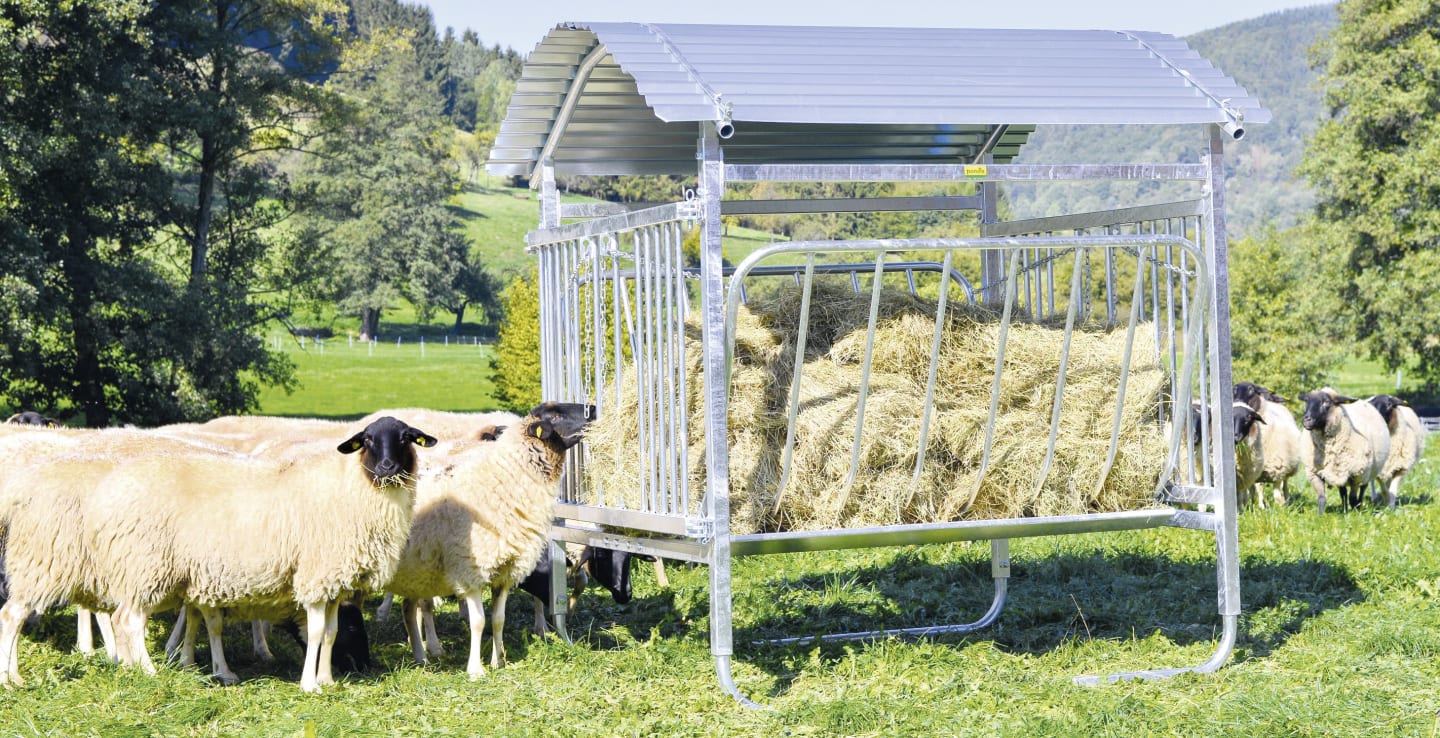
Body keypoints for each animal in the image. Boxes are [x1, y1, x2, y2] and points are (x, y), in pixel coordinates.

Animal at [0, 416, 436, 692]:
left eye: (406, 438)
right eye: (367, 441)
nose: (386, 467)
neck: (352, 490)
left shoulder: (326, 580)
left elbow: (323, 633)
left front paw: (325, 679)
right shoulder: (315, 575)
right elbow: (315, 633)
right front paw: (310, 684)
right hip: (98, 563)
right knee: (107, 618)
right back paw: (139, 672)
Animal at [384, 401, 593, 679]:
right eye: (555, 416)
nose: (593, 408)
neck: (499, 481)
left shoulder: (505, 570)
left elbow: (498, 619)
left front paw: (498, 661)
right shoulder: (471, 571)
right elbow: (478, 621)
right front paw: (475, 670)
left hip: (417, 564)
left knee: (409, 607)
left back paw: (420, 656)